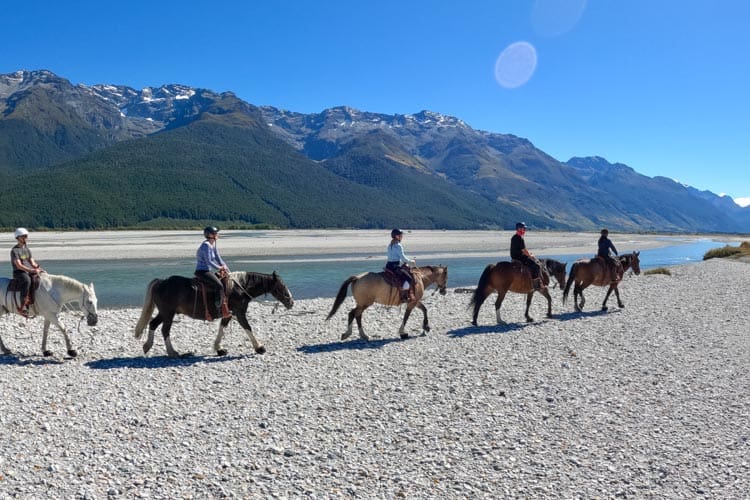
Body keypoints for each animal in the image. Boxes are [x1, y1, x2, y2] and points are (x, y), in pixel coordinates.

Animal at [134, 271, 294, 358]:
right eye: (282, 286)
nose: (291, 302)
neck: (240, 288)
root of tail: (161, 282)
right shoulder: (239, 312)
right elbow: (248, 328)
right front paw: (259, 347)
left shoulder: (228, 314)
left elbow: (222, 328)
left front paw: (219, 348)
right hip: (168, 313)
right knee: (165, 330)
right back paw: (172, 352)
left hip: (165, 312)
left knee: (153, 324)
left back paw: (147, 346)